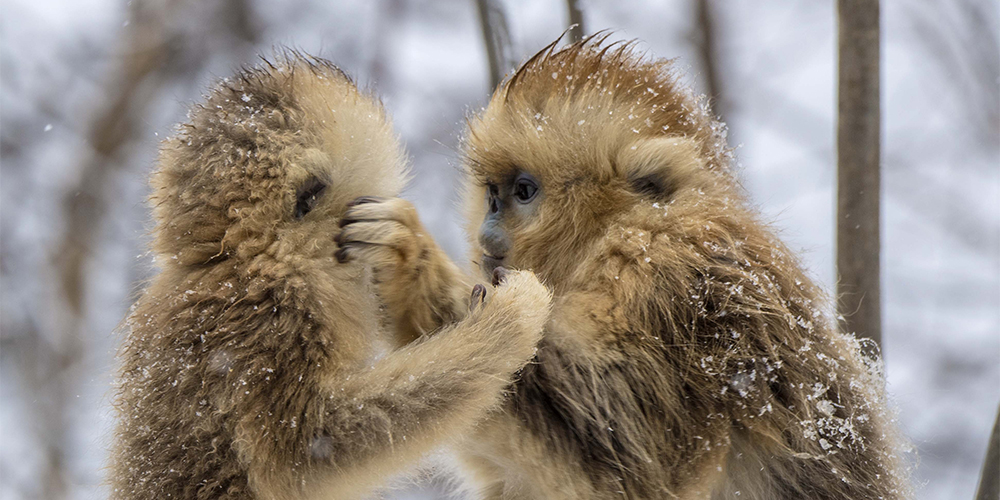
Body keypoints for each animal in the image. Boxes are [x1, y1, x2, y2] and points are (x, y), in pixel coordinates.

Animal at [338, 37, 916, 498]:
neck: (627, 227)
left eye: (522, 192)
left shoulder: (665, 275)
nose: (488, 230)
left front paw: (409, 261)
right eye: (492, 195)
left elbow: (631, 462)